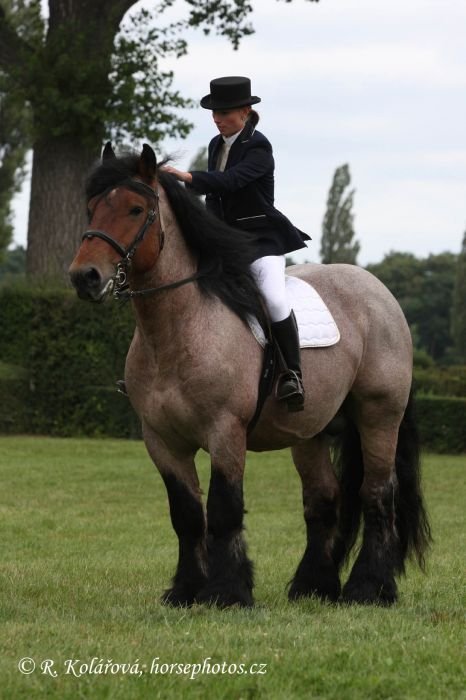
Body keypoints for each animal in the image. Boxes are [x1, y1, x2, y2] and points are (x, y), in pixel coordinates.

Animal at [69, 142, 431, 608]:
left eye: (135, 209)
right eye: (92, 208)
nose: (85, 277)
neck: (179, 328)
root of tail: (380, 291)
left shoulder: (225, 431)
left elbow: (224, 509)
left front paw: (228, 592)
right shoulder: (163, 440)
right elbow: (187, 515)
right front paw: (186, 590)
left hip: (378, 416)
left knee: (377, 494)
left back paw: (370, 588)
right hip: (310, 431)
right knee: (323, 498)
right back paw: (313, 587)